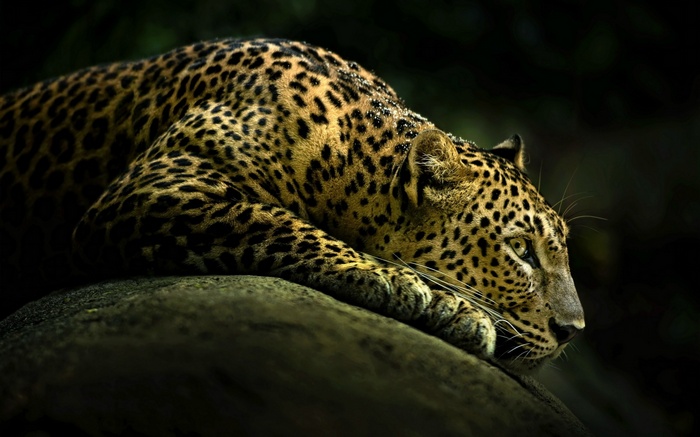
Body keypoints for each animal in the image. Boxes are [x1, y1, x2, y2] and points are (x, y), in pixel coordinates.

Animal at [0, 38, 584, 373]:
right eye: (521, 251)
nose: (573, 332)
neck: (346, 160)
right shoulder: (157, 186)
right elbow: (273, 220)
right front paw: (404, 285)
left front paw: (451, 307)